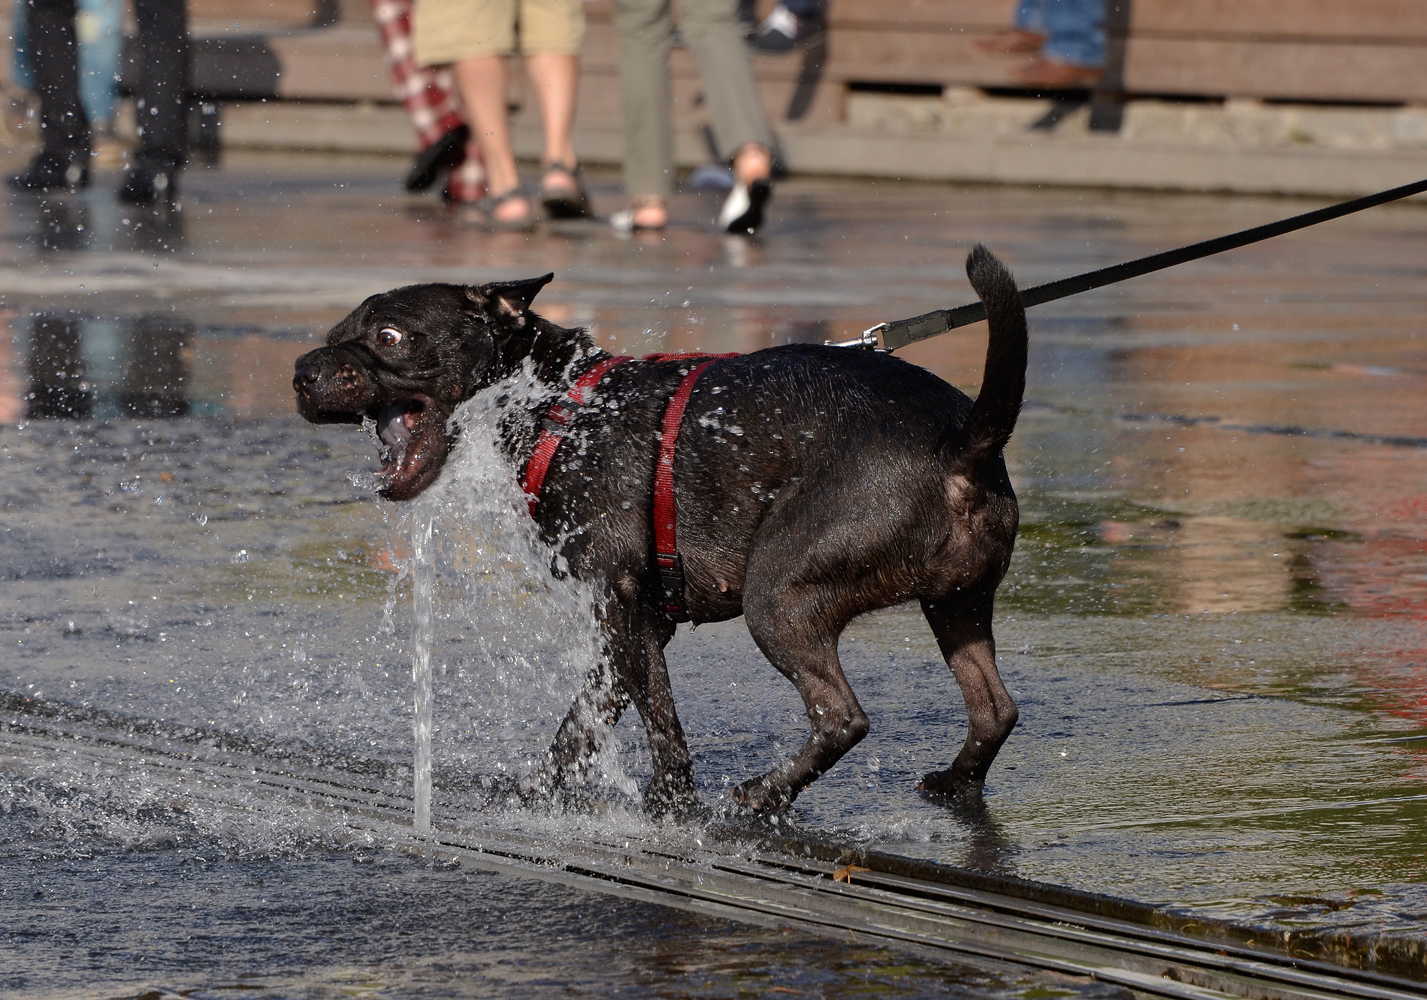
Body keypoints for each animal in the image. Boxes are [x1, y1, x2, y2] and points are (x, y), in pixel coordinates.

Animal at [292, 245, 1027, 815]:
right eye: (334, 330)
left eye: (389, 337)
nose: (302, 372)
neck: (561, 403)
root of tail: (962, 446)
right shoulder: (632, 623)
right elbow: (584, 718)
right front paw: (535, 793)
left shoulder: (623, 606)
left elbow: (661, 722)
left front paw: (670, 804)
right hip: (956, 604)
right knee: (994, 708)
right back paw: (954, 782)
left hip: (779, 594)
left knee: (840, 715)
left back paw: (762, 796)